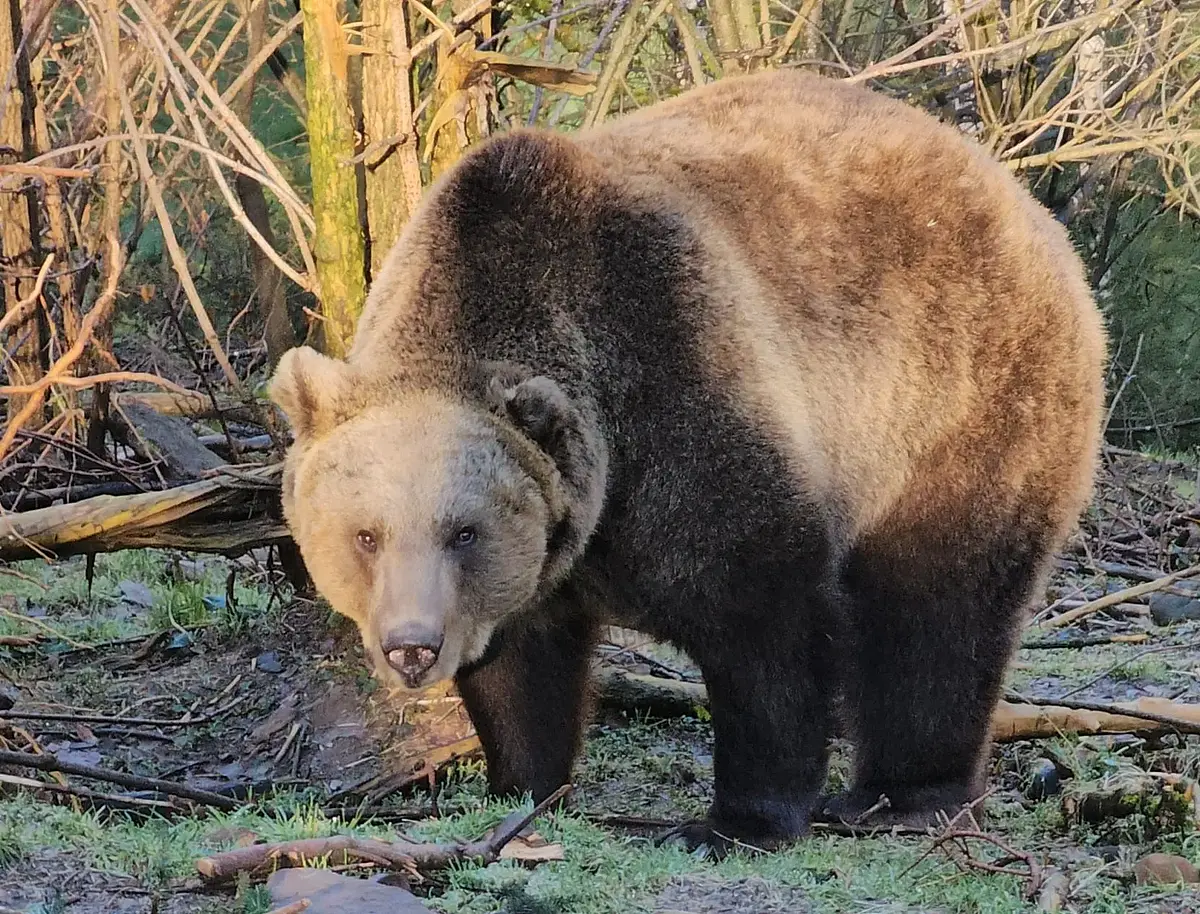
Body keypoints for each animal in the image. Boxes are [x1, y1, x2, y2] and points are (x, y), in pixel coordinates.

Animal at [268, 68, 1108, 853]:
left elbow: (762, 618)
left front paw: (735, 820)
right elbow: (521, 659)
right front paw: (520, 786)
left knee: (938, 603)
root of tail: (1017, 198)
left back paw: (904, 797)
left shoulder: (679, 391)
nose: (411, 646)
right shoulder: (548, 540)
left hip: (959, 397)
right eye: (365, 534)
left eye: (462, 532)